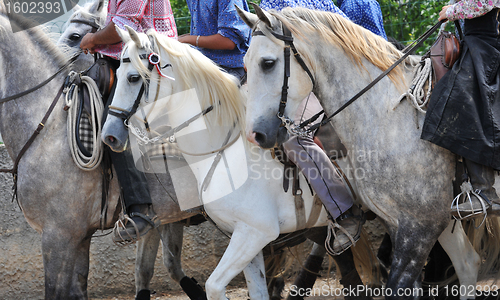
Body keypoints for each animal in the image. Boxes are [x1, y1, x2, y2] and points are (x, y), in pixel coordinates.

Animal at [237, 5, 500, 300]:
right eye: (245, 64)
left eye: (267, 63)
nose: (255, 134)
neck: (389, 113)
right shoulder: (405, 222)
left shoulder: (420, 227)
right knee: (468, 262)